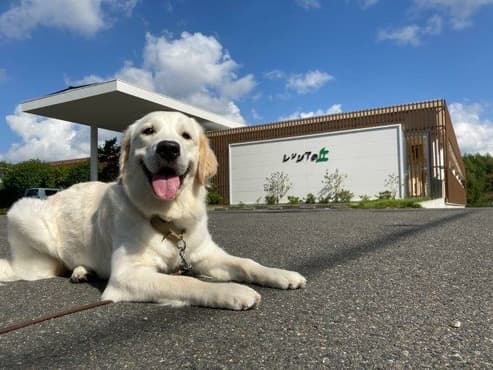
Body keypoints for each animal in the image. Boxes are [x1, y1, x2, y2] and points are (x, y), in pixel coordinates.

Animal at [0, 110, 306, 310]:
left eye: (186, 136)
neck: (167, 216)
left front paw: (280, 274)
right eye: (148, 131)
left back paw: (83, 271)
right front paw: (232, 291)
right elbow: (187, 284)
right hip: (24, 213)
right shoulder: (127, 275)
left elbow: (246, 263)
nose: (169, 148)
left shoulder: (205, 254)